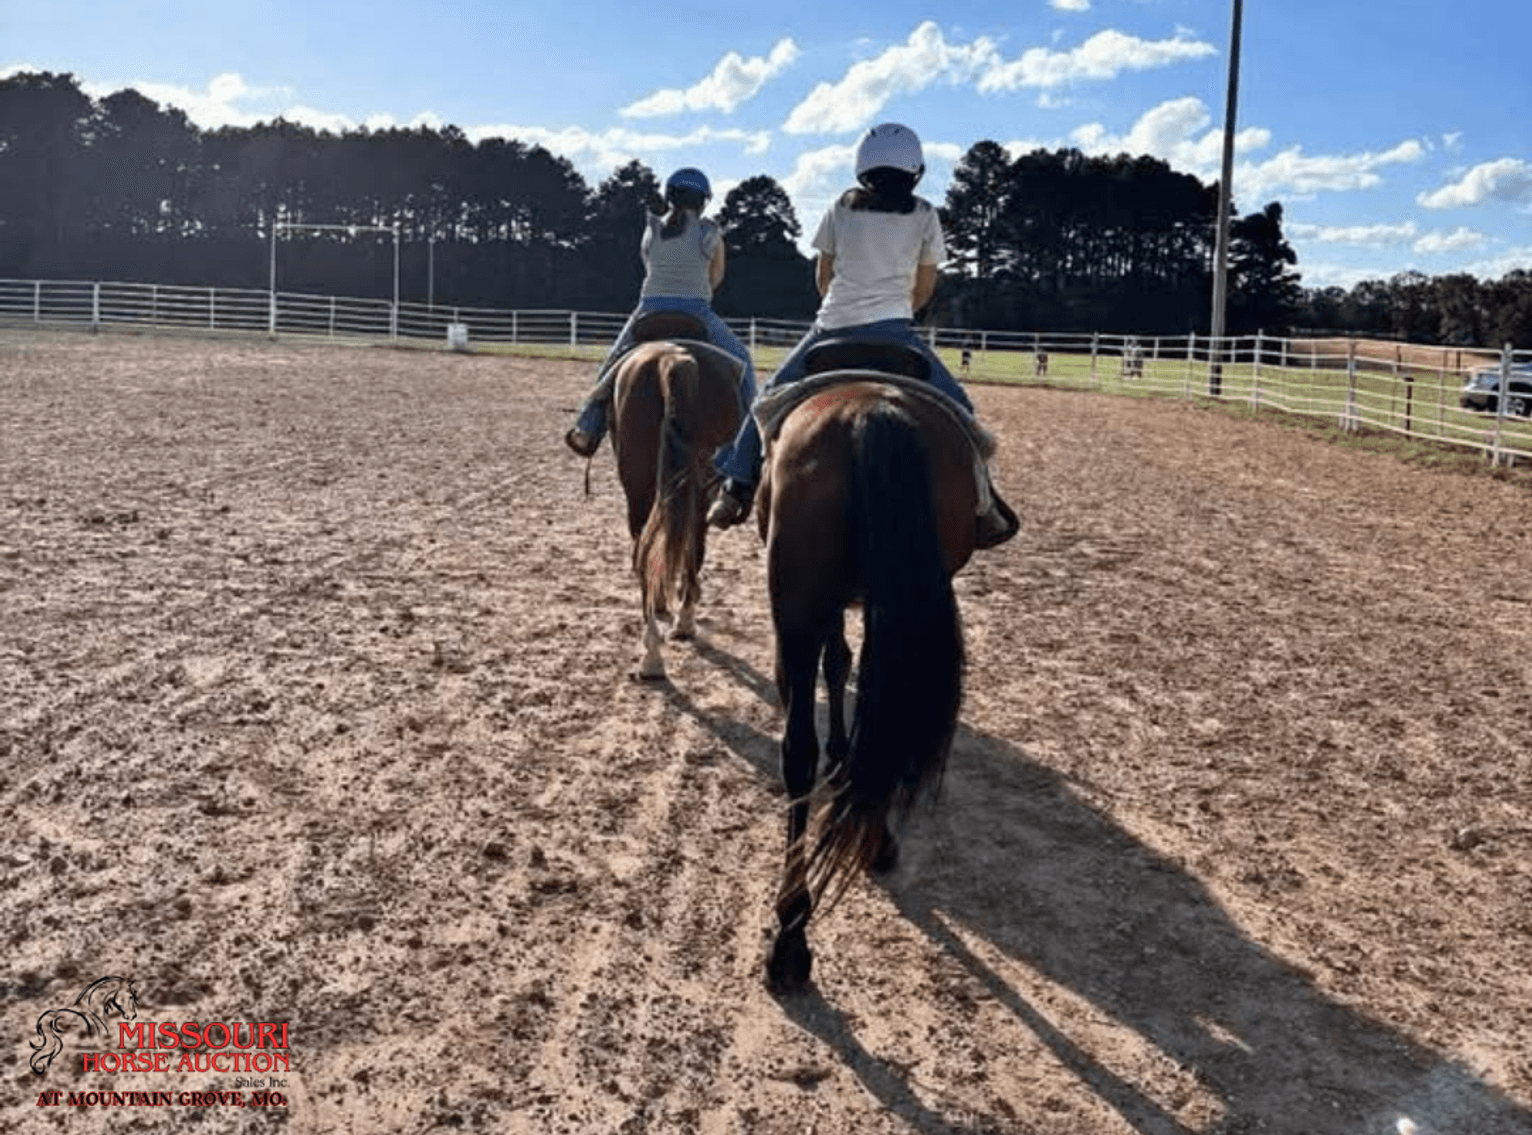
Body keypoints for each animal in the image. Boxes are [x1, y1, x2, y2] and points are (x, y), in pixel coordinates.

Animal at [609, 311, 746, 680]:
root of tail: (674, 358)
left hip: (643, 487)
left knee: (649, 546)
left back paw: (653, 652)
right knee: (688, 542)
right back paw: (678, 627)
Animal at [754, 340, 981, 992]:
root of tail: (870, 413)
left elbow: (837, 665)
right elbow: (847, 670)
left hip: (799, 605)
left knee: (797, 750)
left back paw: (791, 929)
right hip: (886, 600)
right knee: (884, 709)